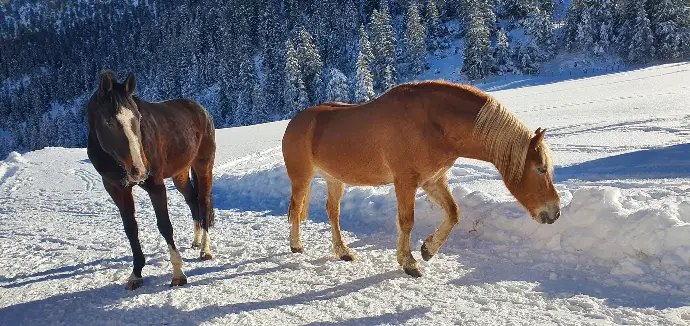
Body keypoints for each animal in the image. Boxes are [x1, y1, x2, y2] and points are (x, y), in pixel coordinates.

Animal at [85, 72, 215, 290]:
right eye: (109, 122)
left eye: (138, 118)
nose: (139, 170)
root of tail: (200, 109)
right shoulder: (117, 189)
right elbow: (131, 229)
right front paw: (136, 274)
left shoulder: (155, 185)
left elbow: (165, 225)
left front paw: (178, 274)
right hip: (180, 173)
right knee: (192, 200)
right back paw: (196, 240)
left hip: (203, 166)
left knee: (203, 201)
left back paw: (205, 249)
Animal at [282, 80, 556, 276]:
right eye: (541, 169)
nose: (554, 212)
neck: (432, 123)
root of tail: (297, 121)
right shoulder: (406, 182)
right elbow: (406, 221)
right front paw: (409, 263)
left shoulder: (432, 181)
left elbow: (453, 213)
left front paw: (428, 250)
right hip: (302, 178)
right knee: (296, 209)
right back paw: (296, 246)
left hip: (334, 179)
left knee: (333, 212)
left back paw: (342, 252)